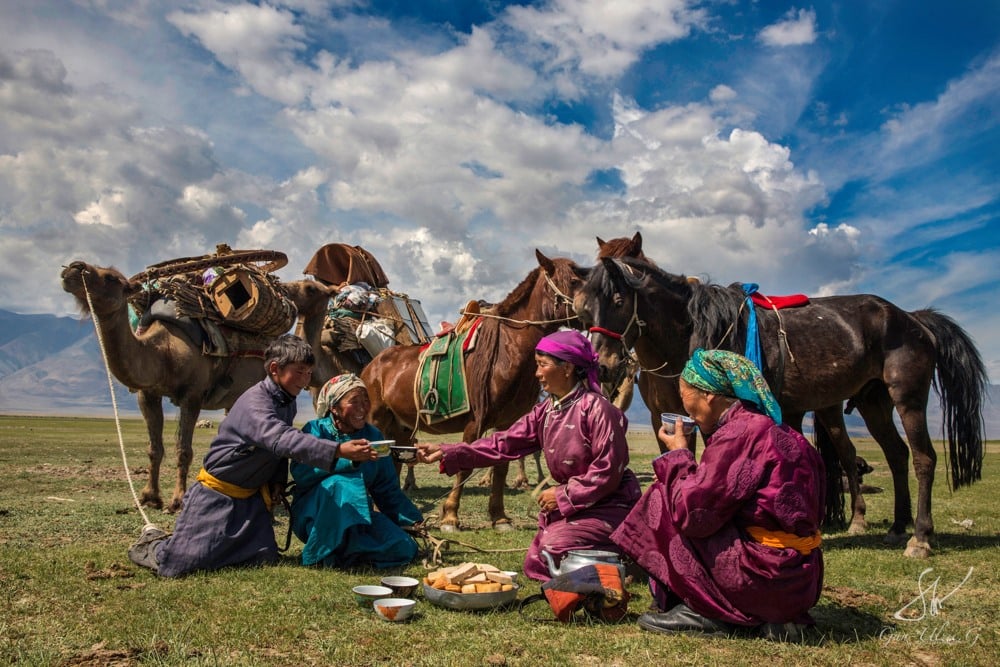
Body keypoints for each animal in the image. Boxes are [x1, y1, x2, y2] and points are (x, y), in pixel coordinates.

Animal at [63, 260, 336, 512]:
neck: (165, 351)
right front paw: (150, 497)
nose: (73, 268)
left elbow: (183, 450)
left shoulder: (192, 395)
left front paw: (178, 500)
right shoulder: (148, 394)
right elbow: (154, 448)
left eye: (110, 277)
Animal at [364, 250, 588, 532]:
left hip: (401, 428)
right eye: (573, 281)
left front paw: (499, 517)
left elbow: (501, 466)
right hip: (377, 420)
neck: (508, 350)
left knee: (394, 464)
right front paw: (450, 517)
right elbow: (464, 466)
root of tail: (372, 366)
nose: (593, 309)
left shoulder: (507, 422)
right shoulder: (474, 421)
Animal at [576, 256, 988, 560]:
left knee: (923, 459)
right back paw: (897, 528)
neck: (691, 334)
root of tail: (913, 319)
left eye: (618, 302)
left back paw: (919, 538)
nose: (603, 365)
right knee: (897, 455)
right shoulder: (670, 418)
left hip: (908, 398)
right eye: (584, 311)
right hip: (874, 403)